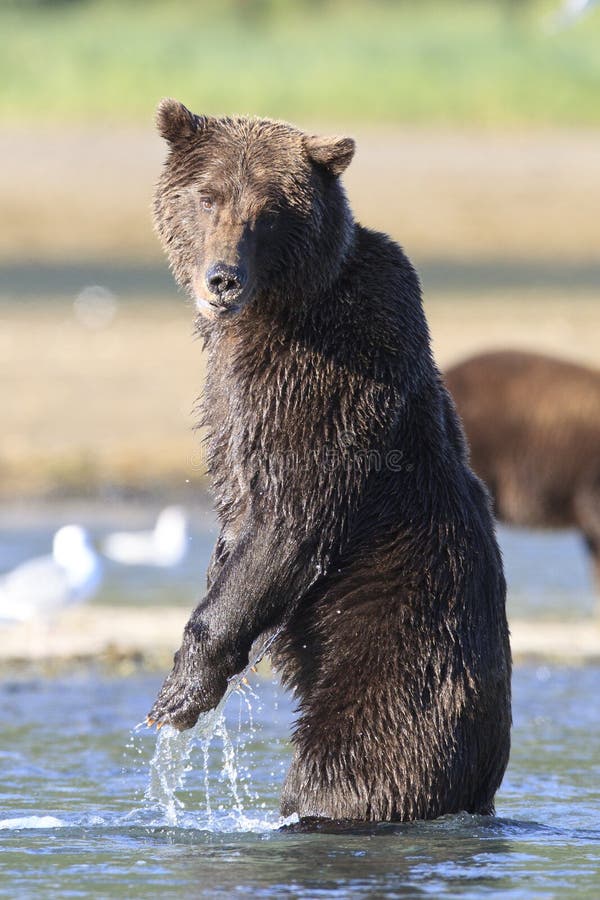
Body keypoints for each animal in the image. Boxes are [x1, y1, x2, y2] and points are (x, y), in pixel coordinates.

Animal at [146, 98, 510, 824]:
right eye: (207, 197)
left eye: (266, 211)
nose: (221, 279)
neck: (275, 308)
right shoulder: (231, 394)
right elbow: (237, 519)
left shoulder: (327, 378)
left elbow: (291, 517)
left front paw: (180, 693)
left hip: (398, 673)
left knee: (347, 768)